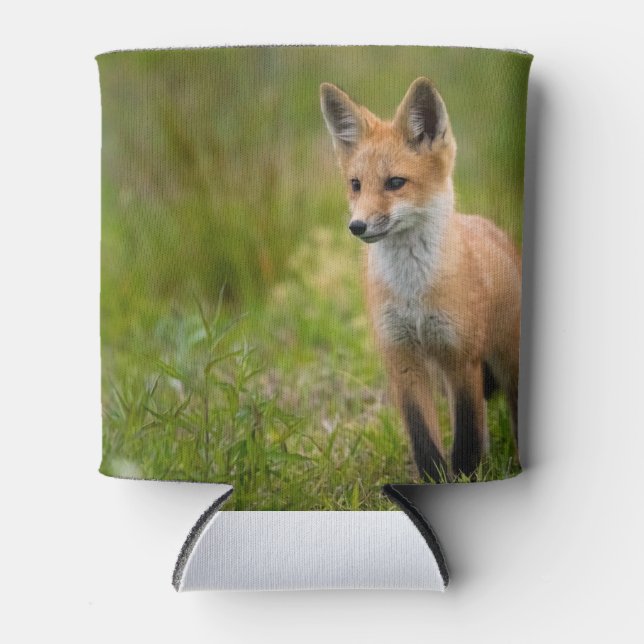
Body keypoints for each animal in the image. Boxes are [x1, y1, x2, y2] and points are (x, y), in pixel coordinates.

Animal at [320, 77, 522, 481]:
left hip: (506, 363)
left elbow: (465, 442)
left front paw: (463, 480)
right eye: (356, 184)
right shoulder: (402, 359)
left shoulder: (460, 357)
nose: (356, 226)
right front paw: (434, 479)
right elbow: (424, 441)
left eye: (395, 182)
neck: (412, 292)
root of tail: (492, 229)